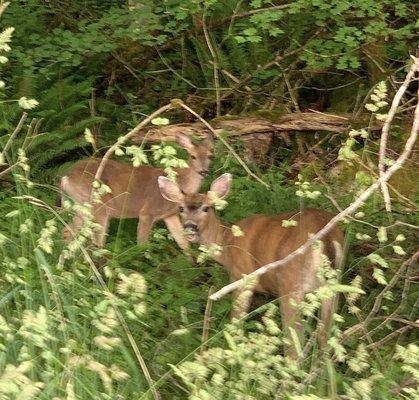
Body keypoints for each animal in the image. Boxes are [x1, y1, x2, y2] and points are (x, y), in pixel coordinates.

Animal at [59, 134, 213, 250]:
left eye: (210, 156)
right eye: (193, 156)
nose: (204, 172)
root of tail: (66, 177)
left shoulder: (170, 215)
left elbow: (183, 242)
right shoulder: (147, 212)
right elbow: (142, 244)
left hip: (81, 205)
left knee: (67, 231)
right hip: (97, 205)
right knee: (96, 241)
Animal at [159, 173, 346, 358]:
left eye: (206, 208)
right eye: (181, 208)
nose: (190, 227)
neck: (227, 242)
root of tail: (327, 239)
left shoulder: (241, 276)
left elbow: (236, 320)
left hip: (290, 284)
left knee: (294, 342)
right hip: (332, 286)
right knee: (325, 336)